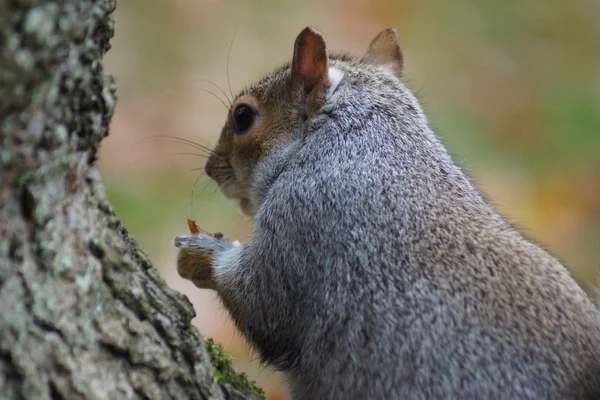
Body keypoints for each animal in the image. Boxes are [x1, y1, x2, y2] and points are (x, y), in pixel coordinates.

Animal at [173, 26, 600, 398]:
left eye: (243, 116)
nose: (210, 168)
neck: (363, 142)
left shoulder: (305, 222)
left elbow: (262, 304)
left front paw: (200, 252)